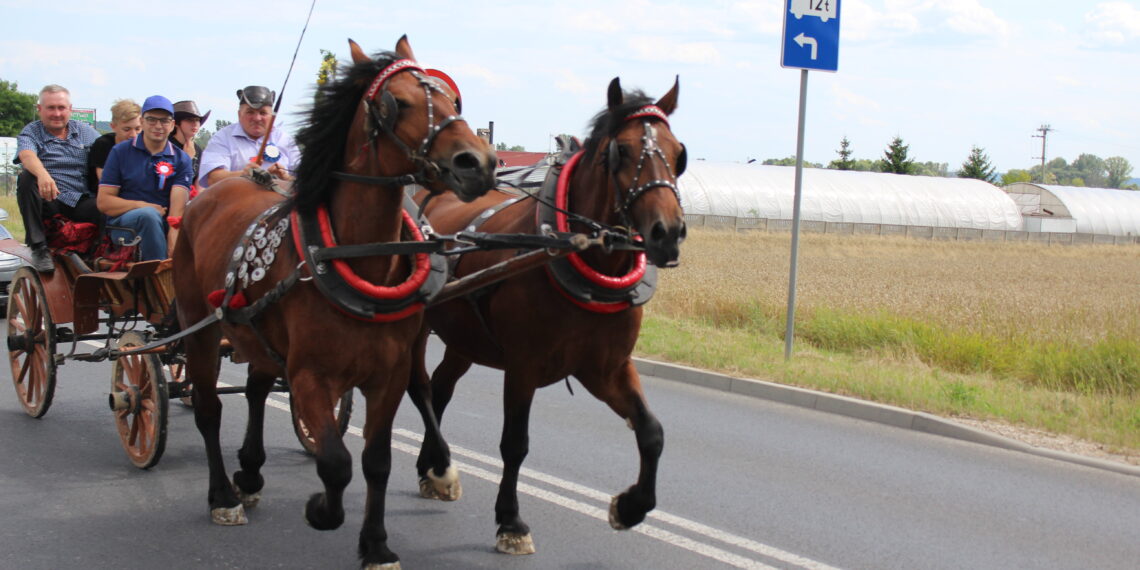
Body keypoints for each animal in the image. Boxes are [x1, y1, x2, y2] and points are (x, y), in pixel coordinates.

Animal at [172, 37, 494, 567]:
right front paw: (321, 510)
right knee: (207, 407)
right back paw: (223, 495)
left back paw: (250, 473)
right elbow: (336, 462)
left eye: (452, 99)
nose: (479, 162)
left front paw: (377, 544)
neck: (356, 258)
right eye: (396, 103)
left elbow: (376, 461)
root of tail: (213, 192)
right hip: (199, 327)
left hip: (257, 336)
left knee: (256, 389)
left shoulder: (387, 376)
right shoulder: (310, 377)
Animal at [405, 75, 679, 551]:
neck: (575, 252)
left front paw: (631, 507)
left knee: (440, 389)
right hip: (413, 324)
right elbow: (515, 443)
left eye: (679, 154)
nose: (669, 232)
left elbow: (651, 431)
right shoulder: (523, 366)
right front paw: (511, 522)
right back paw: (439, 466)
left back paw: (433, 469)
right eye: (621, 152)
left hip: (464, 338)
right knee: (419, 389)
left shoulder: (605, 368)